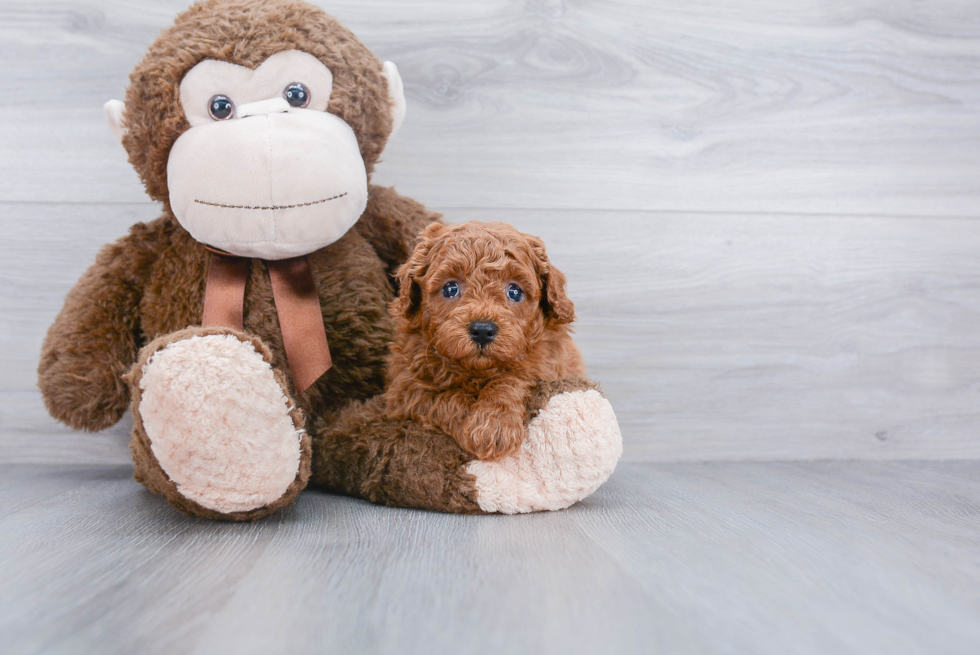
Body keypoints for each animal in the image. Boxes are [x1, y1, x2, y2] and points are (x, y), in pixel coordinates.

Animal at [382, 223, 580, 458]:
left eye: (514, 291)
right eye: (450, 288)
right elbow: (443, 398)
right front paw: (479, 427)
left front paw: (494, 424)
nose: (483, 330)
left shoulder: (548, 364)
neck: (477, 371)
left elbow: (514, 377)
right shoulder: (404, 390)